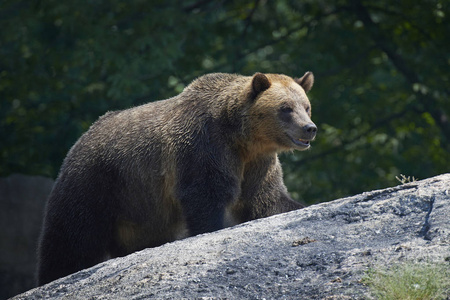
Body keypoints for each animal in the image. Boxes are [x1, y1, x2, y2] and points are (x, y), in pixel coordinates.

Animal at [36, 71, 316, 284]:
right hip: (97, 183)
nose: (309, 128)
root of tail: (82, 139)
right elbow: (205, 195)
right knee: (71, 238)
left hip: (141, 210)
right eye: (285, 108)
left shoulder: (258, 163)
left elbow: (265, 200)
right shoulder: (204, 147)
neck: (243, 139)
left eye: (306, 106)